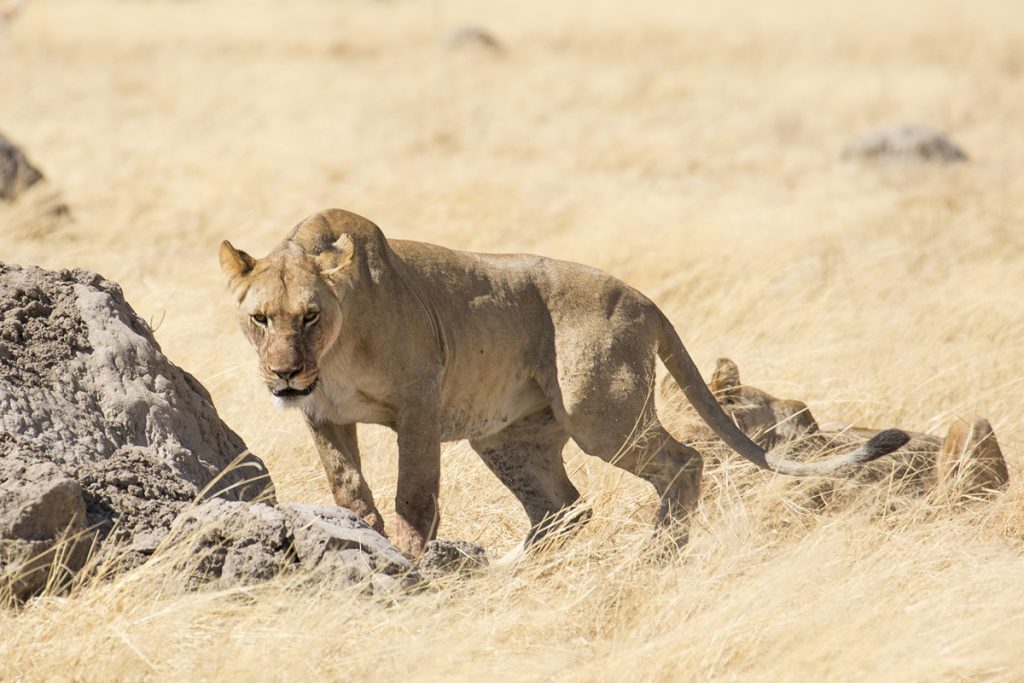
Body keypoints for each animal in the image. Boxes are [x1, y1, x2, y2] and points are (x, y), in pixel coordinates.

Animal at [216, 208, 905, 557]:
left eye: (310, 315)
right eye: (260, 318)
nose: (284, 373)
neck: (333, 352)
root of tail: (645, 299)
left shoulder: (419, 405)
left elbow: (415, 494)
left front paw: (409, 560)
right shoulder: (324, 416)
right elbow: (350, 490)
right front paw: (368, 538)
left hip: (599, 412)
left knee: (683, 462)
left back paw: (658, 552)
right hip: (507, 438)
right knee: (564, 508)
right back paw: (512, 568)